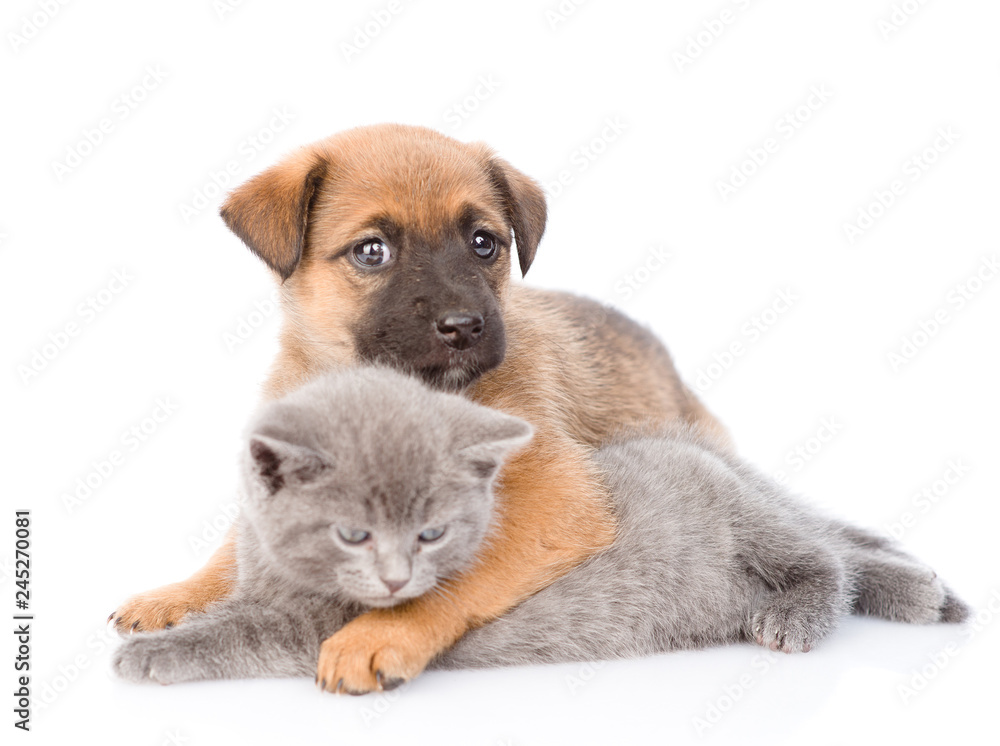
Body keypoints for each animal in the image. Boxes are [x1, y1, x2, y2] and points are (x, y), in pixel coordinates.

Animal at [113, 123, 728, 692]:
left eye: (484, 242)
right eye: (371, 250)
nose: (464, 326)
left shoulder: (556, 498)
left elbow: (454, 571)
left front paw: (377, 635)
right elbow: (233, 550)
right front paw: (178, 593)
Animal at [113, 368, 964, 684]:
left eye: (431, 534)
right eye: (353, 534)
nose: (395, 579)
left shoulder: (310, 625)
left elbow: (237, 632)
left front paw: (152, 657)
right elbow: (220, 592)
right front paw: (166, 606)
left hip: (735, 514)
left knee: (825, 557)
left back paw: (806, 614)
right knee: (848, 548)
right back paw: (928, 593)